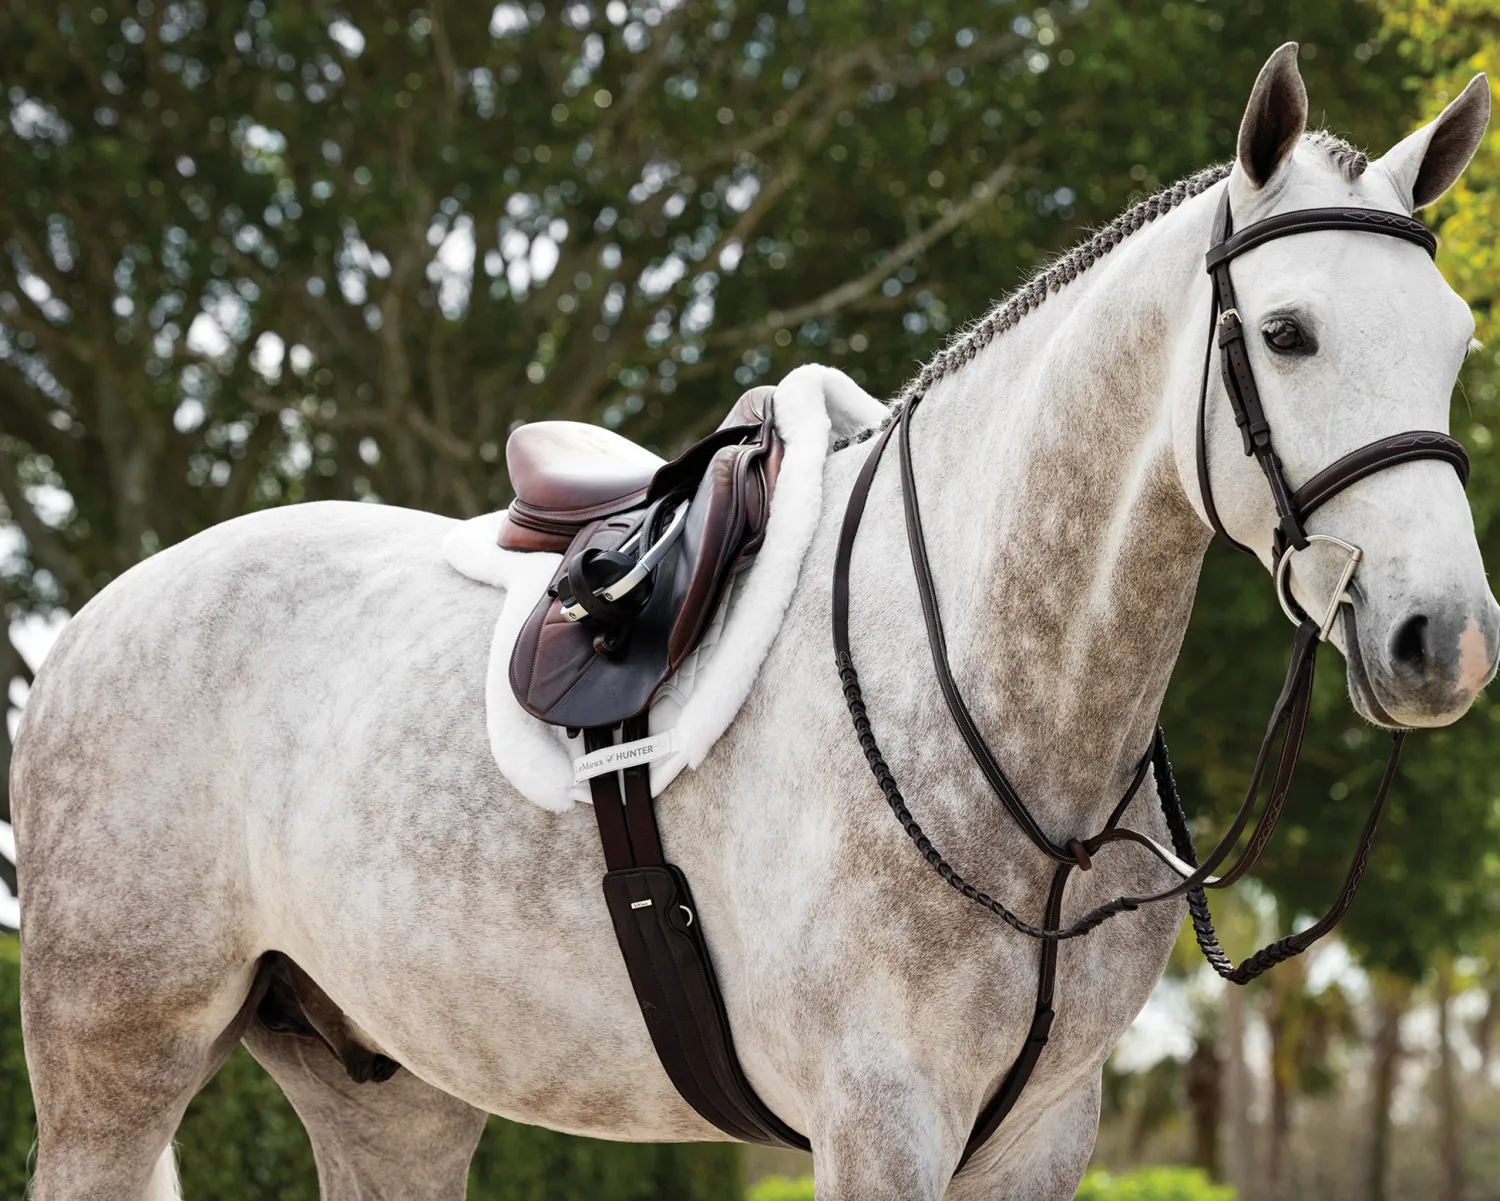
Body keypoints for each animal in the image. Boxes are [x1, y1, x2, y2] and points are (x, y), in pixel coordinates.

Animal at [13, 45, 1498, 1200]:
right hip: (114, 1071)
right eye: (1290, 332)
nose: (1446, 640)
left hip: (390, 1093)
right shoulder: (878, 1121)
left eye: (1456, 341)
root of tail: (94, 619)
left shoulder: (1042, 1134)